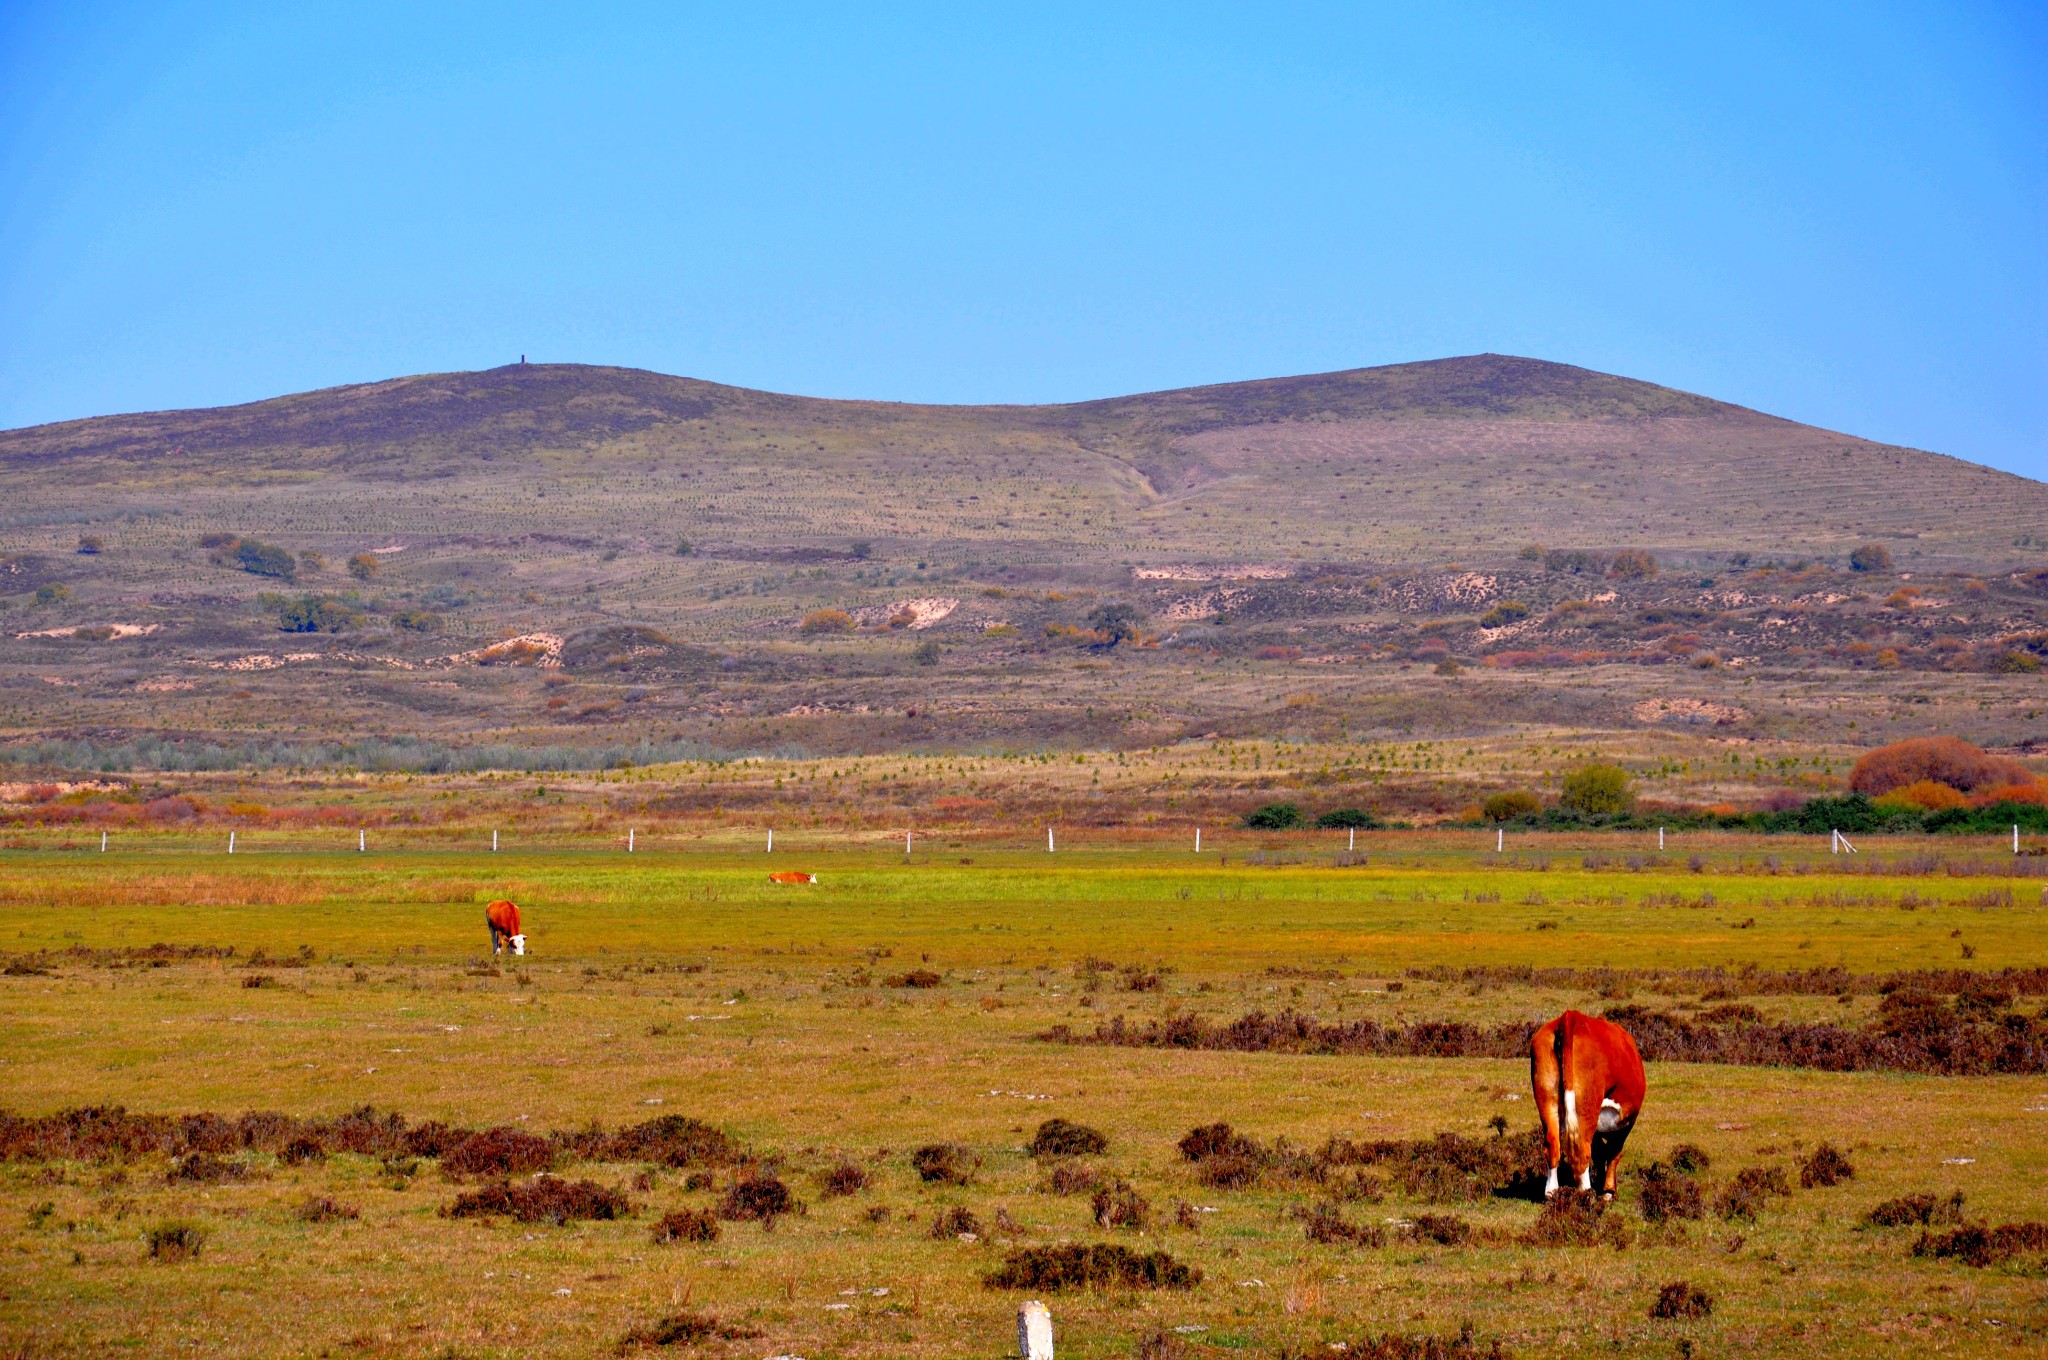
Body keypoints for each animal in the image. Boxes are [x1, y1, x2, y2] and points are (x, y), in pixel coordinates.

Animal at [1523, 1003, 1646, 1196]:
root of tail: (1570, 1017)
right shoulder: (1627, 1120)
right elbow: (1613, 1152)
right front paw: (1609, 1190)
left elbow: (1600, 1153)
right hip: (1587, 1107)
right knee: (1582, 1149)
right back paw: (1585, 1193)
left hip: (1546, 1099)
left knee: (1552, 1144)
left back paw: (1551, 1192)